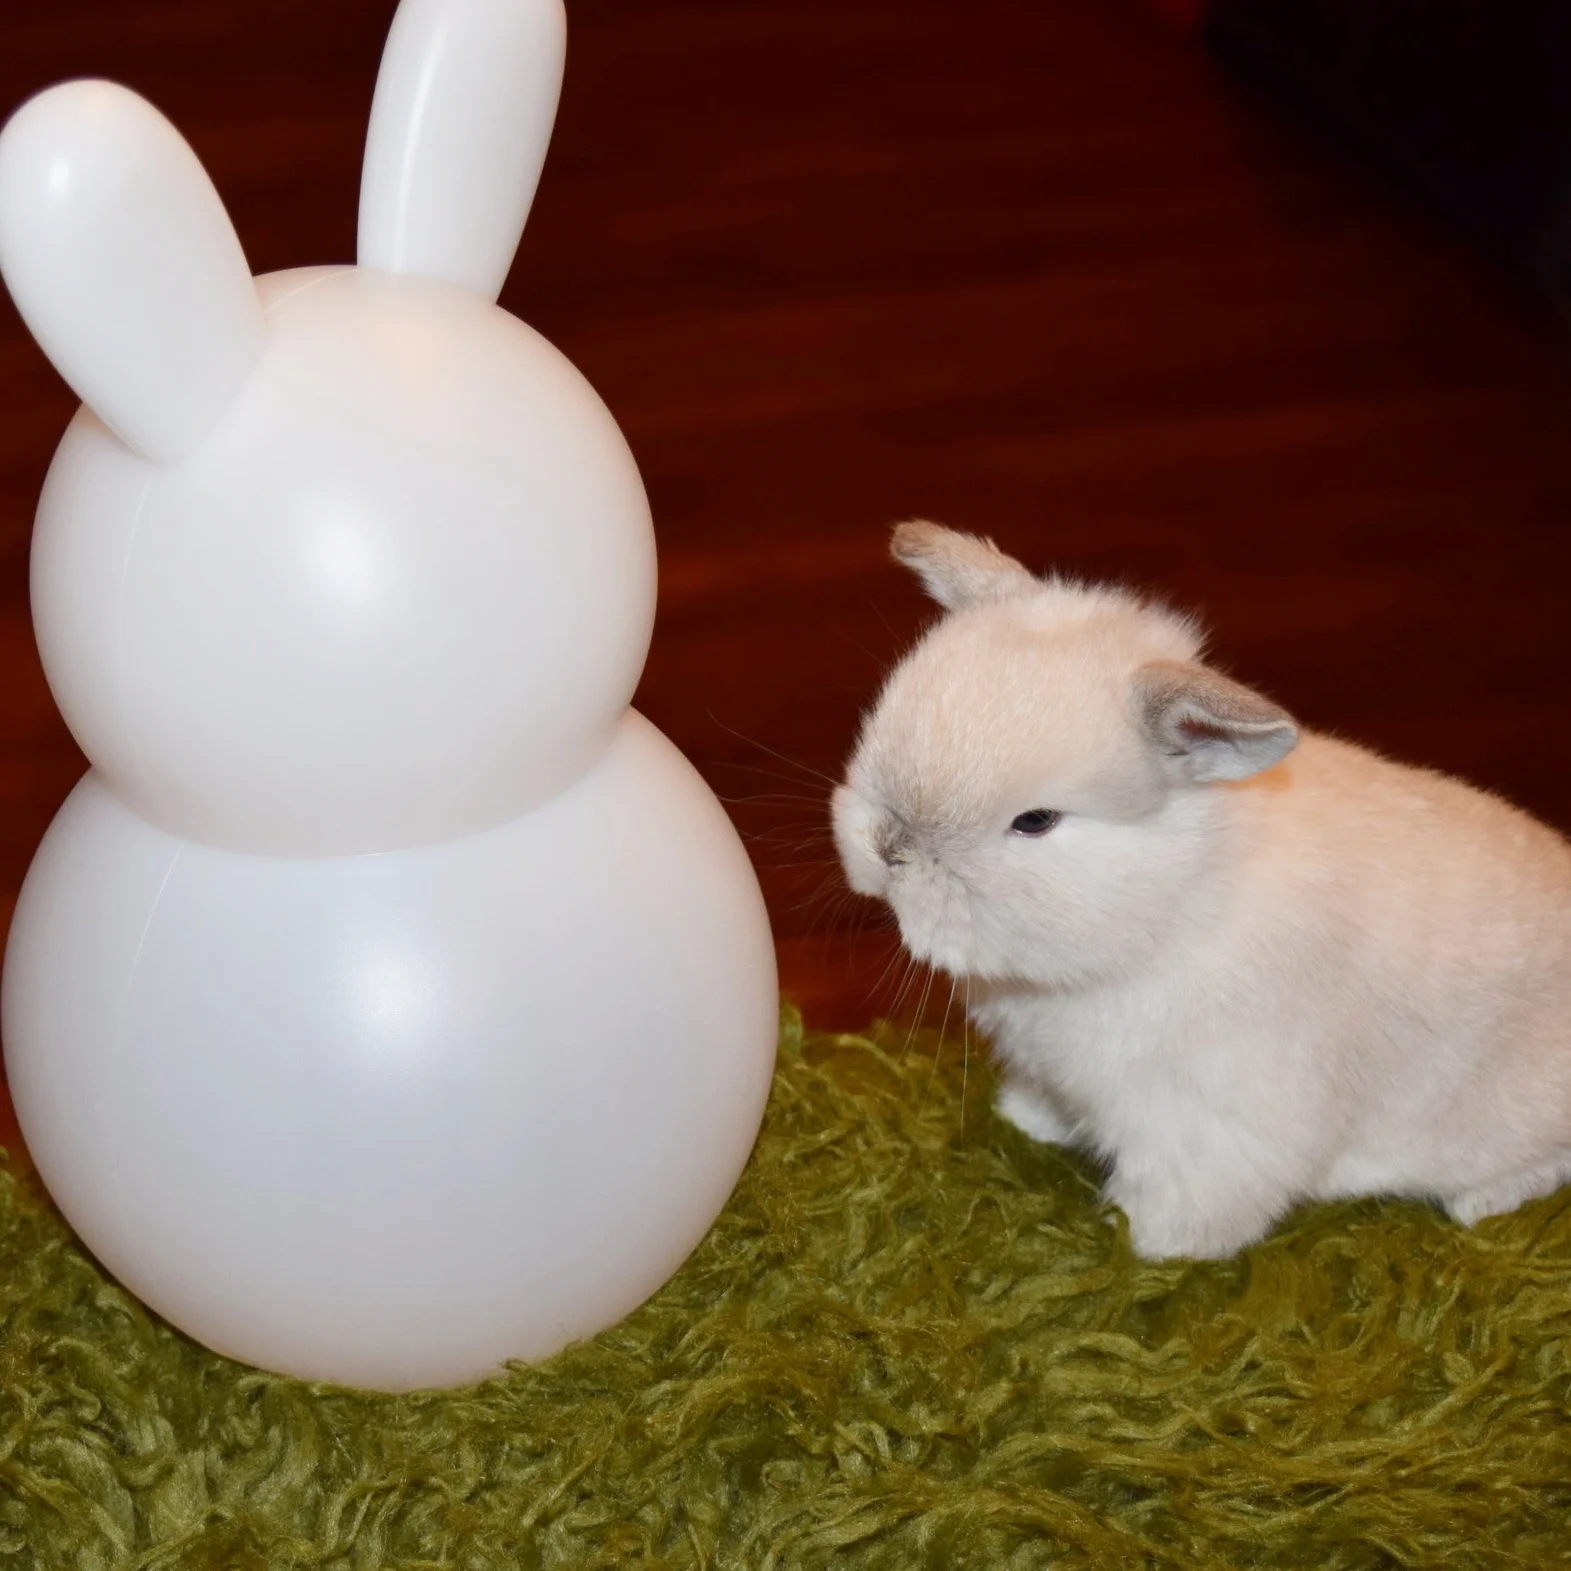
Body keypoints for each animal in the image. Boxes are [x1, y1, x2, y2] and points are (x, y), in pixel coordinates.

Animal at [834, 520, 1571, 1260]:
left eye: (1036, 821)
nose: (889, 850)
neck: (1176, 900)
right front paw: (1024, 1118)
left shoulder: (1211, 1126)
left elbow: (1184, 1203)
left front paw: (1136, 1244)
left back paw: (1477, 1206)